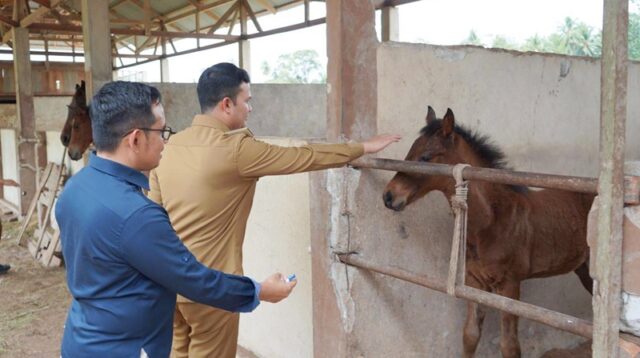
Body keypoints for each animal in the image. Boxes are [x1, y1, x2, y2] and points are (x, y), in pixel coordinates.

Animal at [382, 107, 592, 358]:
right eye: (410, 151)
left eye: (426, 157)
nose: (389, 196)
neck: (490, 221)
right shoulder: (474, 282)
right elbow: (470, 334)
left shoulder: (510, 285)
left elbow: (509, 346)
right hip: (584, 269)